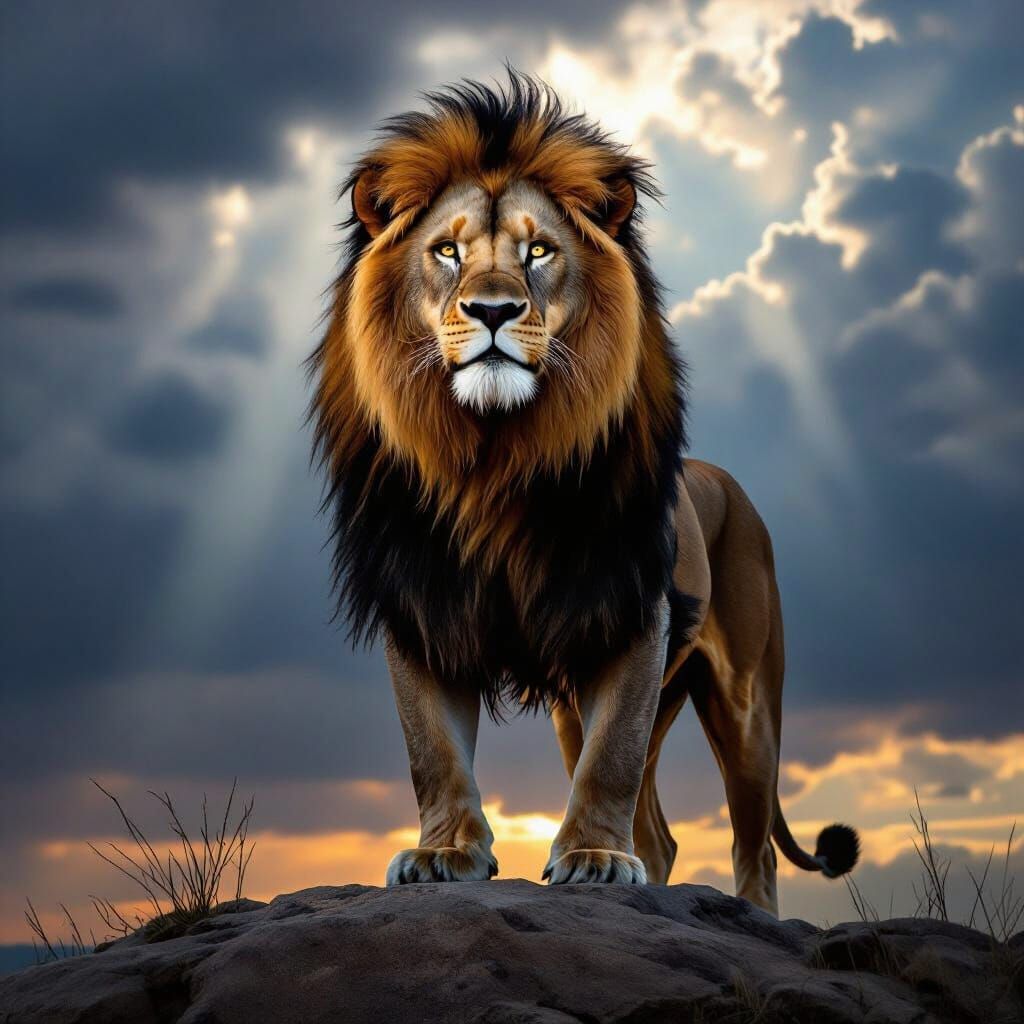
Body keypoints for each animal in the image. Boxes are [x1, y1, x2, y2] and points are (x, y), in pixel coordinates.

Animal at [309, 73, 858, 916]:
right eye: (446, 251)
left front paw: (594, 859)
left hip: (745, 701)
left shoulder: (629, 612)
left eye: (538, 251)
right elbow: (432, 749)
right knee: (661, 833)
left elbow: (610, 760)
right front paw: (445, 854)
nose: (493, 310)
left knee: (754, 840)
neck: (492, 460)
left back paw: (748, 914)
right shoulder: (422, 603)